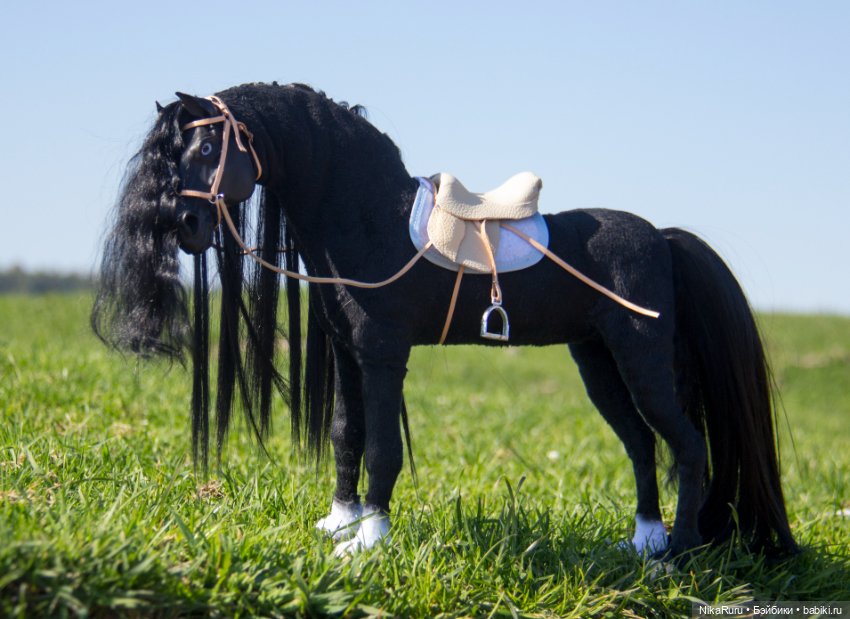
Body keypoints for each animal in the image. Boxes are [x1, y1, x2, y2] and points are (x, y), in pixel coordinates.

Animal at [92, 82, 797, 557]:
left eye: (210, 144)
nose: (184, 225)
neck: (366, 214)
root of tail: (663, 239)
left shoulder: (382, 351)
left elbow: (381, 445)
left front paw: (370, 538)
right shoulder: (347, 351)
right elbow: (347, 433)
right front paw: (338, 523)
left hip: (641, 358)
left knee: (687, 445)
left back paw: (680, 553)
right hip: (597, 361)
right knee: (642, 444)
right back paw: (644, 543)